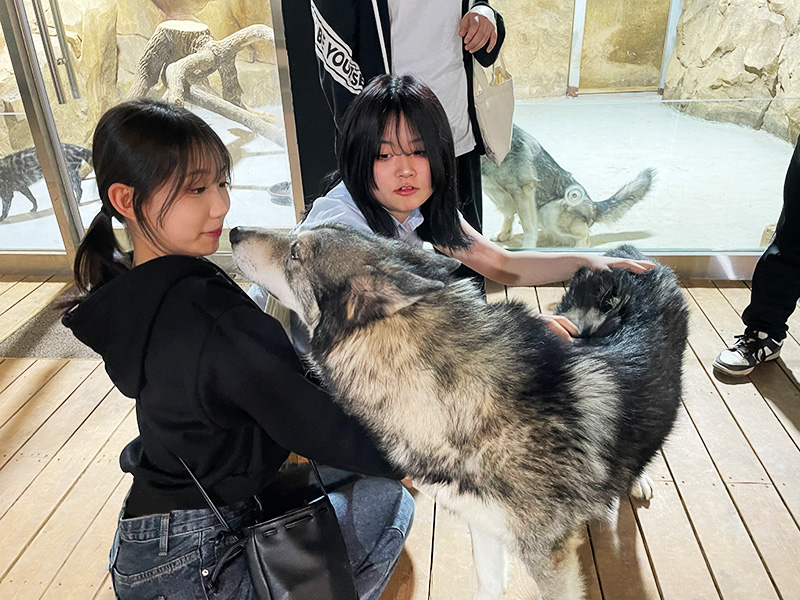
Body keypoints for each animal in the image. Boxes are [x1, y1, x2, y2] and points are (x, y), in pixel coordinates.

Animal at [231, 225, 688, 600]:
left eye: (294, 252)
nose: (234, 231)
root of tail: (631, 257)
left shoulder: (548, 556)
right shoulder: (483, 525)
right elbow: (487, 584)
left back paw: (636, 480)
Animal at [482, 125, 656, 247]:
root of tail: (594, 207)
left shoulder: (522, 190)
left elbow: (528, 230)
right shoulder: (509, 196)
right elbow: (508, 215)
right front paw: (505, 234)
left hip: (550, 210)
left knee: (584, 236)